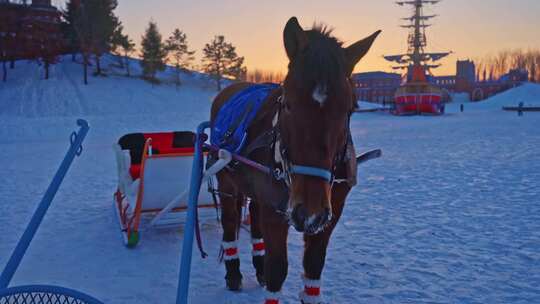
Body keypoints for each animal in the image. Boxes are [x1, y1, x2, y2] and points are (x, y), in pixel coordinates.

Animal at [208, 16, 380, 304]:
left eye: (350, 108)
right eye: (287, 103)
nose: (309, 211)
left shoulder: (330, 214)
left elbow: (313, 268)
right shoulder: (277, 212)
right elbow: (278, 271)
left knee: (254, 217)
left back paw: (258, 265)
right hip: (227, 183)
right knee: (230, 223)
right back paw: (233, 273)